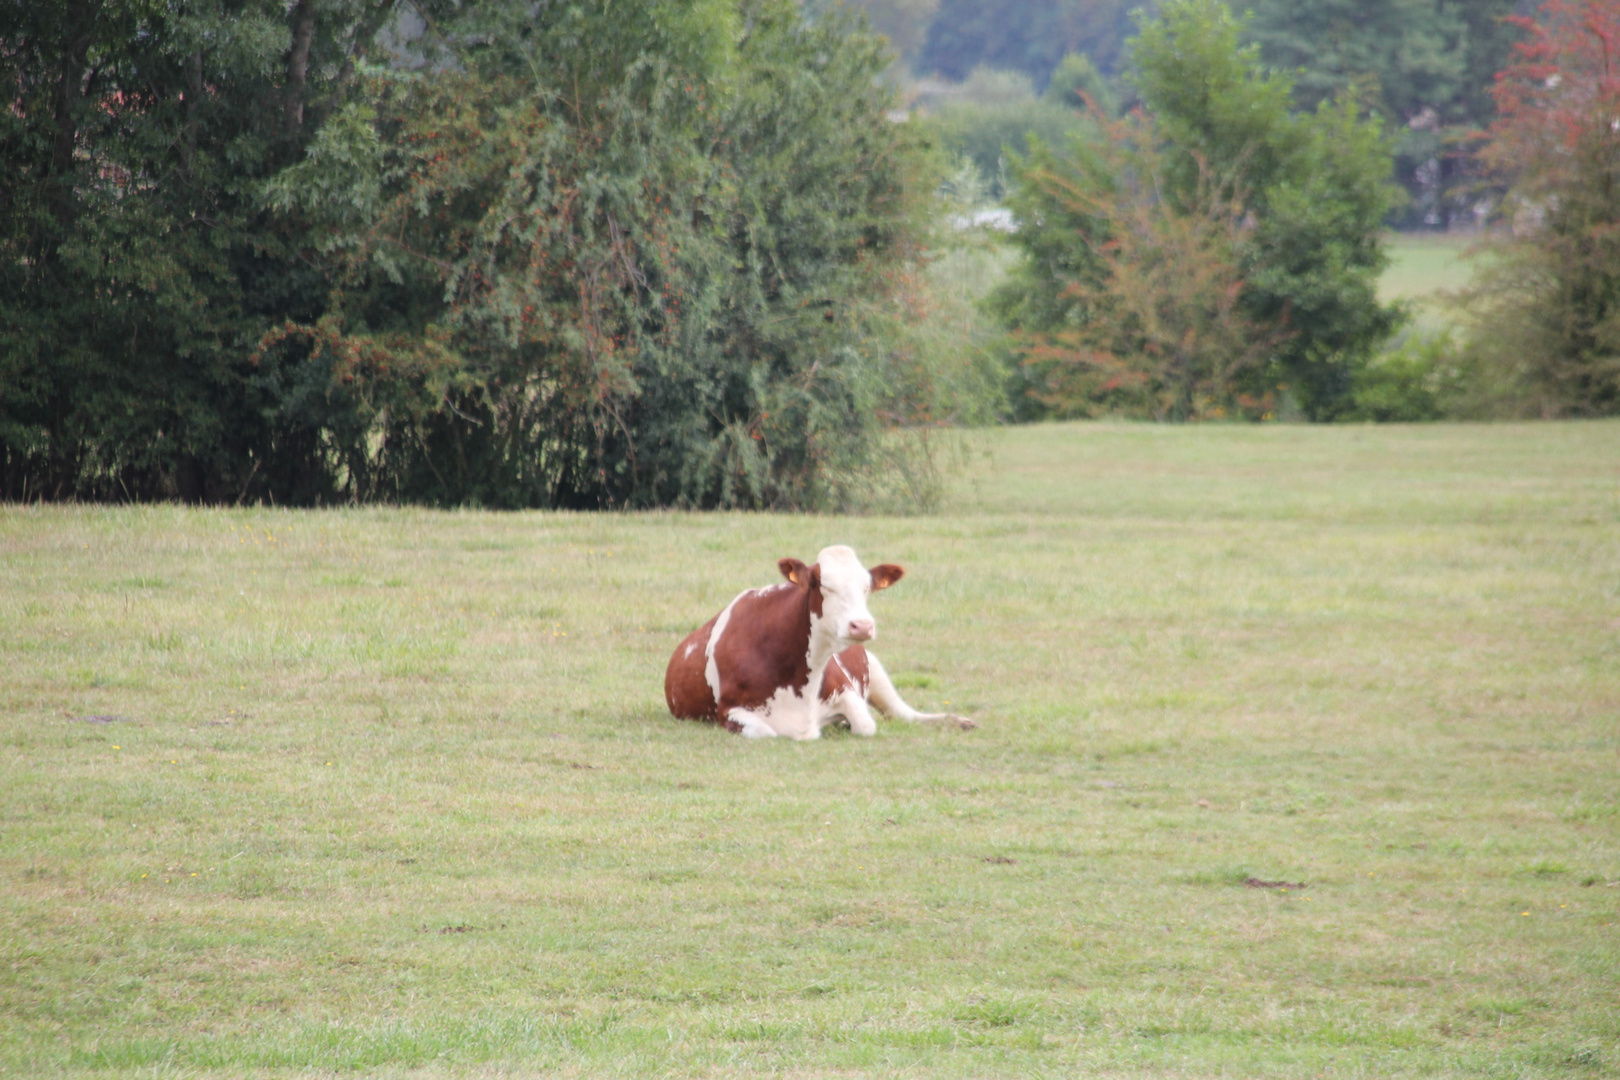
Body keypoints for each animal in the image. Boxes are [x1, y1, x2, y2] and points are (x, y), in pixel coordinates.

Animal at [660, 544, 972, 738]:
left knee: (904, 715)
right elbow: (766, 732)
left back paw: (959, 721)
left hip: (874, 669)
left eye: (867, 587)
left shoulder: (846, 690)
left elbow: (866, 725)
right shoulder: (729, 710)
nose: (862, 625)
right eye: (824, 585)